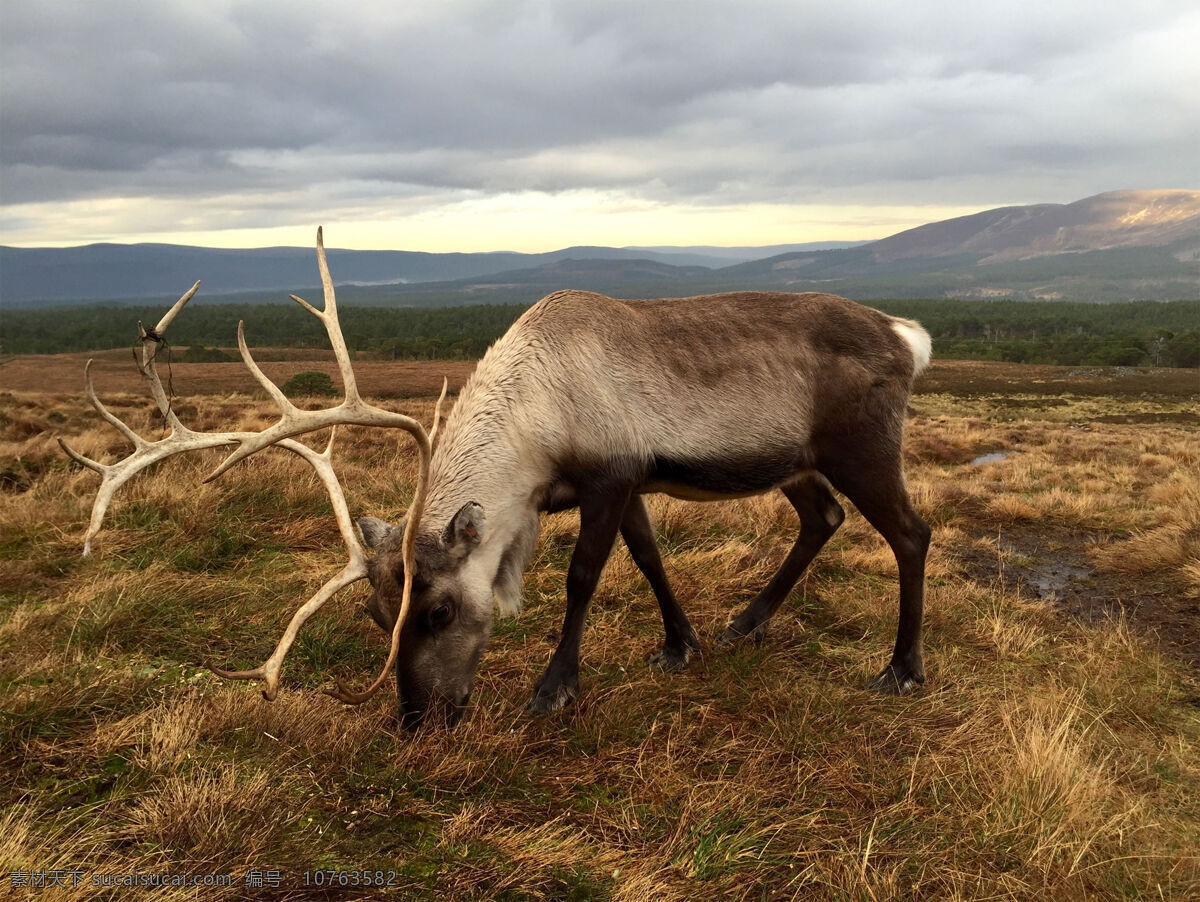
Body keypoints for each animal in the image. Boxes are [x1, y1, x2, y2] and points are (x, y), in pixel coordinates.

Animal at [62, 228, 932, 727]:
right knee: (823, 518)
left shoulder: (608, 477)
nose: (417, 719)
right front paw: (679, 646)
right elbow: (650, 558)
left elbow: (585, 577)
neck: (538, 415)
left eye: (439, 611)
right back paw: (746, 622)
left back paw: (901, 669)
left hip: (862, 446)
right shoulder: (625, 484)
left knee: (911, 533)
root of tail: (907, 333)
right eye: (375, 616)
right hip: (797, 460)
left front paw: (554, 687)